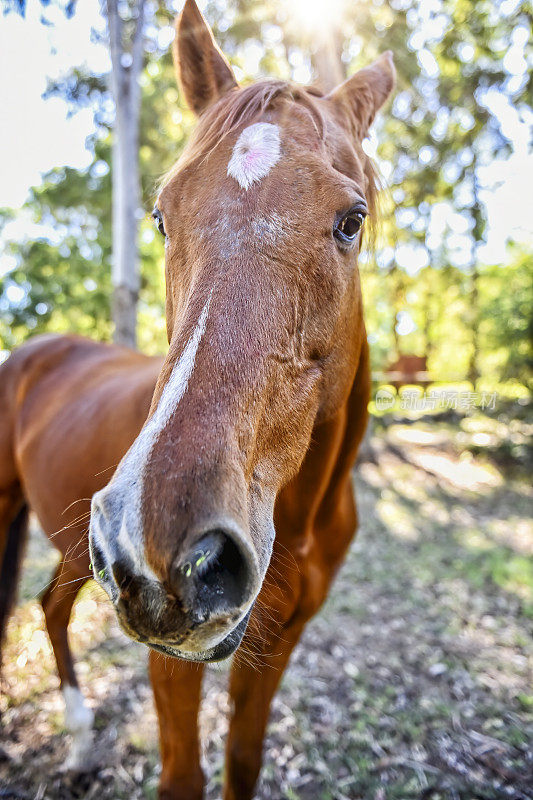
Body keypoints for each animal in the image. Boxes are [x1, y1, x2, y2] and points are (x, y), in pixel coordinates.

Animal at [0, 3, 392, 796]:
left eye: (352, 219)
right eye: (160, 215)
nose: (161, 554)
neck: (302, 514)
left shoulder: (278, 645)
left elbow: (243, 760)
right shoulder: (170, 665)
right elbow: (183, 774)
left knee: (50, 608)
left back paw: (81, 740)